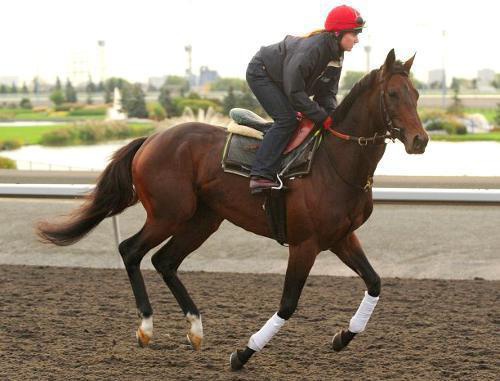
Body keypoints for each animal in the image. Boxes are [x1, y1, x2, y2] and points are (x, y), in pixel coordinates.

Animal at [38, 49, 430, 370]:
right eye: (393, 94)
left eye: (416, 94)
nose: (420, 140)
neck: (333, 163)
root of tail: (151, 138)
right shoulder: (305, 243)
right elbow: (288, 304)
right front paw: (243, 353)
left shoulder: (341, 237)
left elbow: (375, 282)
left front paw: (342, 338)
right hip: (169, 214)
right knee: (131, 250)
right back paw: (146, 326)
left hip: (204, 219)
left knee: (164, 260)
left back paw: (195, 329)